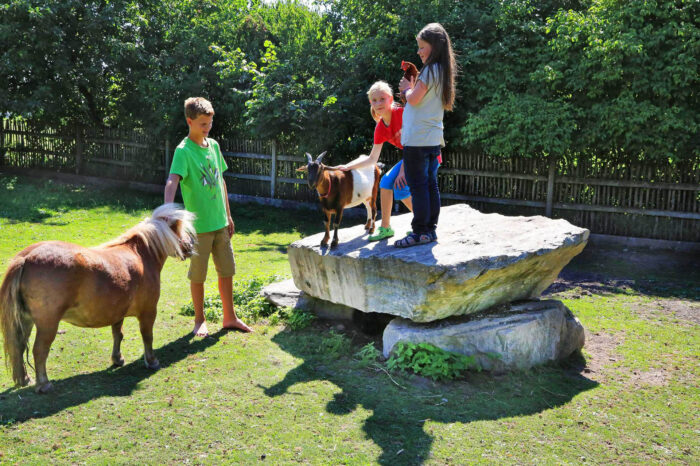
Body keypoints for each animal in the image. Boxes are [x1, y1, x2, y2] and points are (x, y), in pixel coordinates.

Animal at [1, 204, 197, 394]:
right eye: (180, 230)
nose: (191, 245)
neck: (140, 254)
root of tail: (26, 258)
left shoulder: (118, 313)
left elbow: (118, 334)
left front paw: (117, 359)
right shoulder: (148, 311)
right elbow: (147, 336)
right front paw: (152, 361)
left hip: (25, 321)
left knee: (19, 346)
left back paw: (24, 379)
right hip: (47, 324)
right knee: (39, 351)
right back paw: (43, 384)